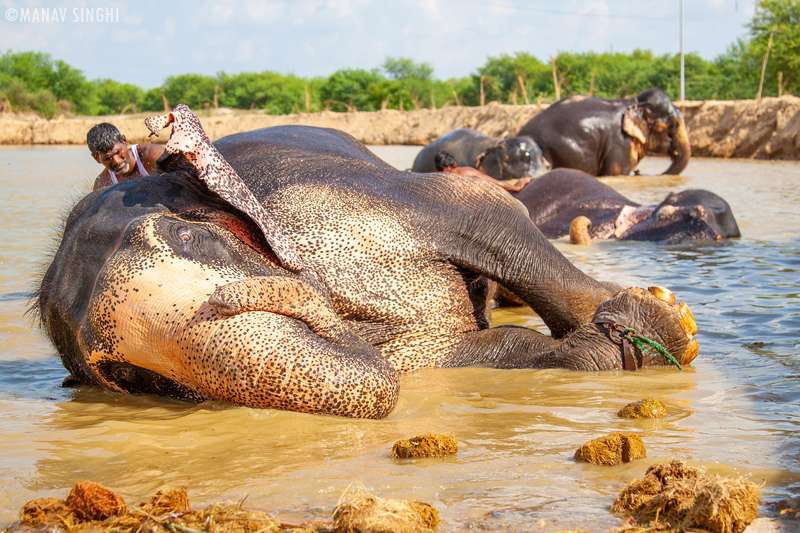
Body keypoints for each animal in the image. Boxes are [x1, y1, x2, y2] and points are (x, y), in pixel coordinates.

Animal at [37, 106, 700, 418]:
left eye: (185, 236)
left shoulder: (345, 196)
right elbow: (498, 350)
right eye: (129, 376)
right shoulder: (428, 360)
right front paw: (624, 343)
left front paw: (666, 323)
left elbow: (486, 214)